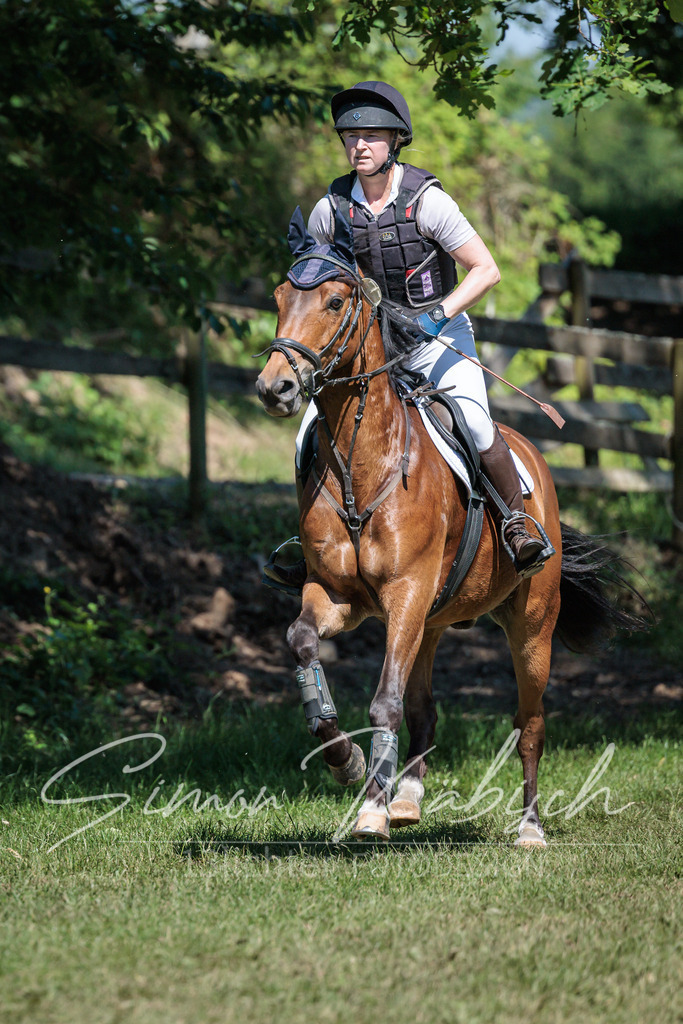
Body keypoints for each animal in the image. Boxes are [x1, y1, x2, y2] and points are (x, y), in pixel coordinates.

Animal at [255, 250, 642, 846]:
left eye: (336, 302)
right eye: (278, 298)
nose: (274, 387)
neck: (365, 467)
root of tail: (534, 456)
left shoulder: (406, 594)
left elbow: (384, 702)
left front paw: (371, 811)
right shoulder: (340, 596)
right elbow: (302, 643)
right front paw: (346, 762)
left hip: (530, 625)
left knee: (530, 724)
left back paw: (529, 827)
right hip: (430, 622)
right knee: (425, 710)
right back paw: (407, 799)